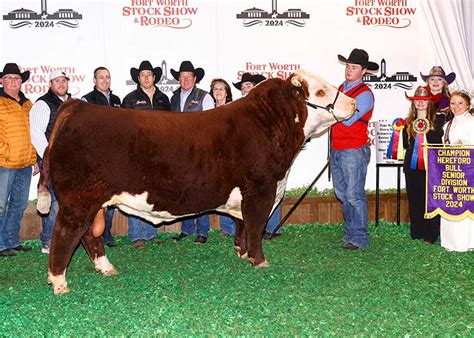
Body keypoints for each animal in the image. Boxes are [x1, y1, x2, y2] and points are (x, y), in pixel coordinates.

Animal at [38, 68, 356, 294]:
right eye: (320, 90)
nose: (353, 102)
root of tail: (77, 107)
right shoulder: (260, 190)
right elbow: (256, 227)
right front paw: (259, 261)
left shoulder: (246, 195)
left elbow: (242, 226)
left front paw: (242, 254)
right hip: (78, 201)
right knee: (65, 234)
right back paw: (59, 282)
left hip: (94, 202)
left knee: (90, 236)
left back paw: (106, 268)